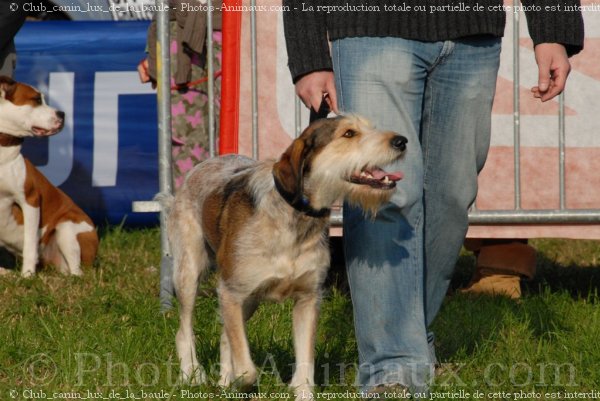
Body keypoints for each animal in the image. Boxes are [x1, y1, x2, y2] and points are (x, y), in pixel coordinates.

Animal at [0, 76, 98, 276]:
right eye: (37, 100)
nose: (63, 114)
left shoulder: (30, 200)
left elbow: (30, 244)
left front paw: (27, 275)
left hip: (67, 228)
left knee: (77, 272)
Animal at [166, 115, 406, 396]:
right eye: (348, 133)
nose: (401, 141)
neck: (296, 219)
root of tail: (204, 163)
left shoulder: (308, 298)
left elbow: (304, 366)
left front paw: (300, 391)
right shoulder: (231, 291)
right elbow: (248, 370)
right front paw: (242, 380)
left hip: (248, 300)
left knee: (226, 336)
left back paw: (224, 381)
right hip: (189, 274)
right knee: (184, 331)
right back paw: (191, 375)